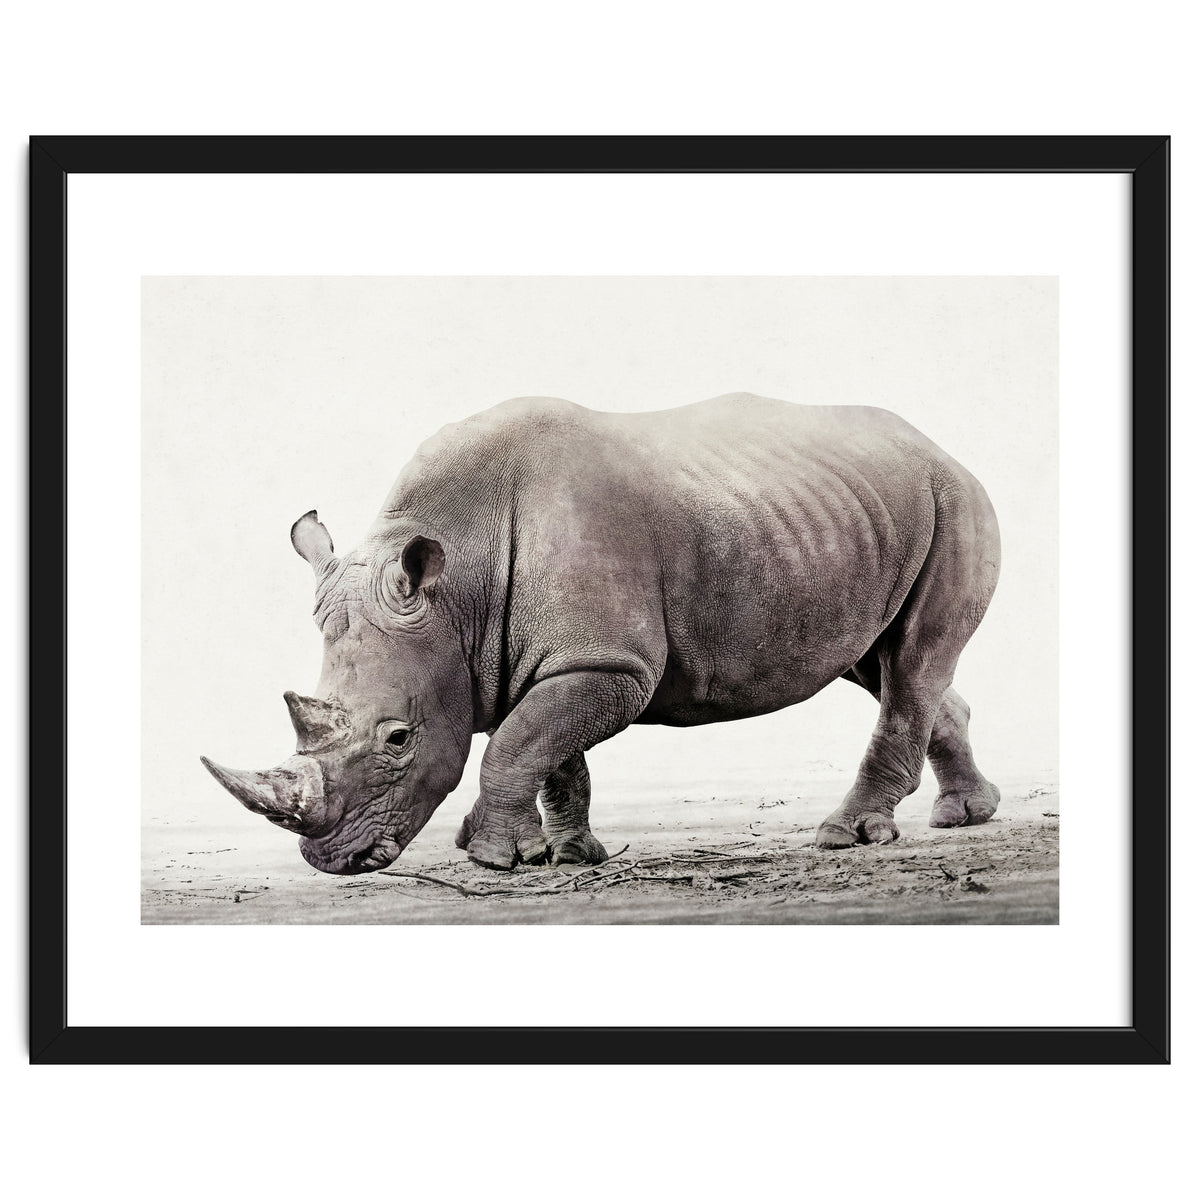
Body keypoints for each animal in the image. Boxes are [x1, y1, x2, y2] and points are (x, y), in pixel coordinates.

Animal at [202, 393, 1001, 874]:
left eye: (398, 739)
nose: (332, 860)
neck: (459, 587)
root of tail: (939, 446)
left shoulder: (609, 662)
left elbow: (520, 741)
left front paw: (493, 859)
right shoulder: (555, 658)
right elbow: (551, 750)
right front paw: (571, 853)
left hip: (955, 501)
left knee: (911, 662)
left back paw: (848, 836)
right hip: (852, 516)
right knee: (883, 664)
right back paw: (965, 816)